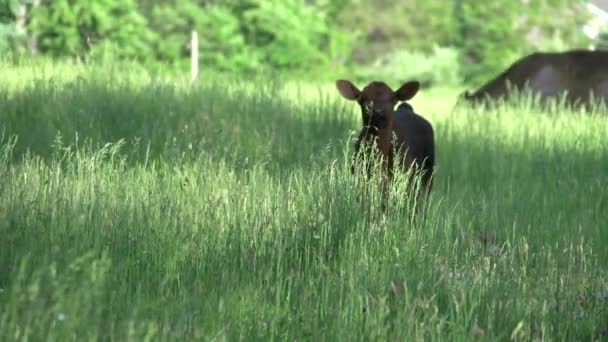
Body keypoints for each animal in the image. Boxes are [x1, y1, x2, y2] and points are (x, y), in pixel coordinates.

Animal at [334, 80, 434, 214]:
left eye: (392, 98)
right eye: (362, 98)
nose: (376, 110)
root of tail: (406, 109)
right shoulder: (360, 178)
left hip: (427, 173)